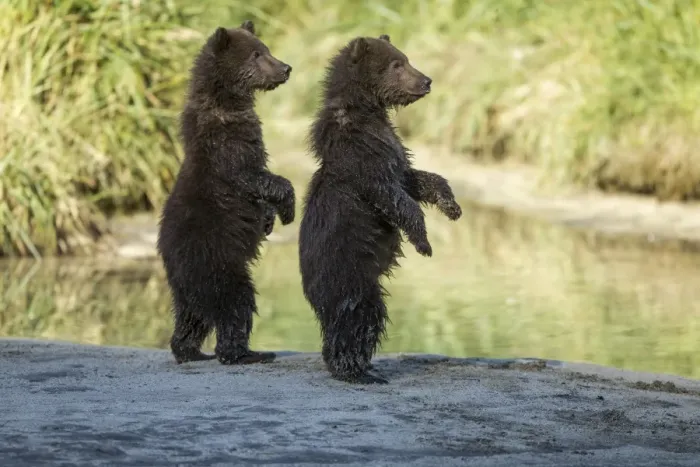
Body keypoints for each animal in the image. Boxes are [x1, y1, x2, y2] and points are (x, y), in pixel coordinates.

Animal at [156, 20, 296, 366]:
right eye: (257, 54)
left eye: (266, 49)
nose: (286, 67)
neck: (226, 103)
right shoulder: (225, 146)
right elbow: (253, 176)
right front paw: (287, 207)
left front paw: (269, 219)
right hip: (217, 262)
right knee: (236, 303)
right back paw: (247, 352)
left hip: (189, 285)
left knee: (191, 317)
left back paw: (190, 350)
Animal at [298, 34, 463, 384]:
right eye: (397, 64)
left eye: (406, 59)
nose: (427, 80)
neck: (366, 112)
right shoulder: (362, 159)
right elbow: (395, 198)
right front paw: (424, 243)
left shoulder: (392, 154)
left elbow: (414, 178)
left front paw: (452, 207)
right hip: (350, 275)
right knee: (357, 320)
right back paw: (355, 371)